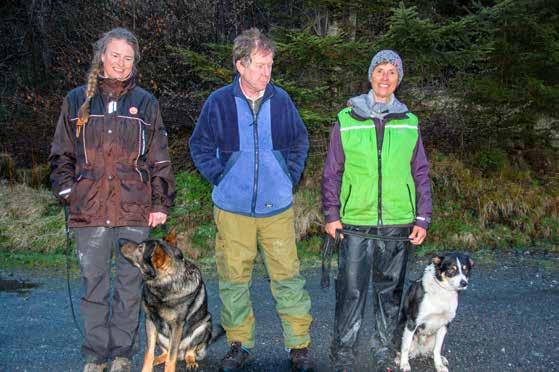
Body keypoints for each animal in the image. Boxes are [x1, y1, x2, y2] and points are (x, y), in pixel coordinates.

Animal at [120, 230, 219, 372]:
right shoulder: (150, 321)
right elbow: (149, 353)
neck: (165, 285)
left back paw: (190, 361)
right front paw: (147, 368)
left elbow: (171, 358)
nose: (119, 241)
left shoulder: (177, 326)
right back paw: (157, 360)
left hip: (204, 325)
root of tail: (181, 354)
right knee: (166, 353)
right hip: (160, 335)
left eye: (140, 248)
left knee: (188, 351)